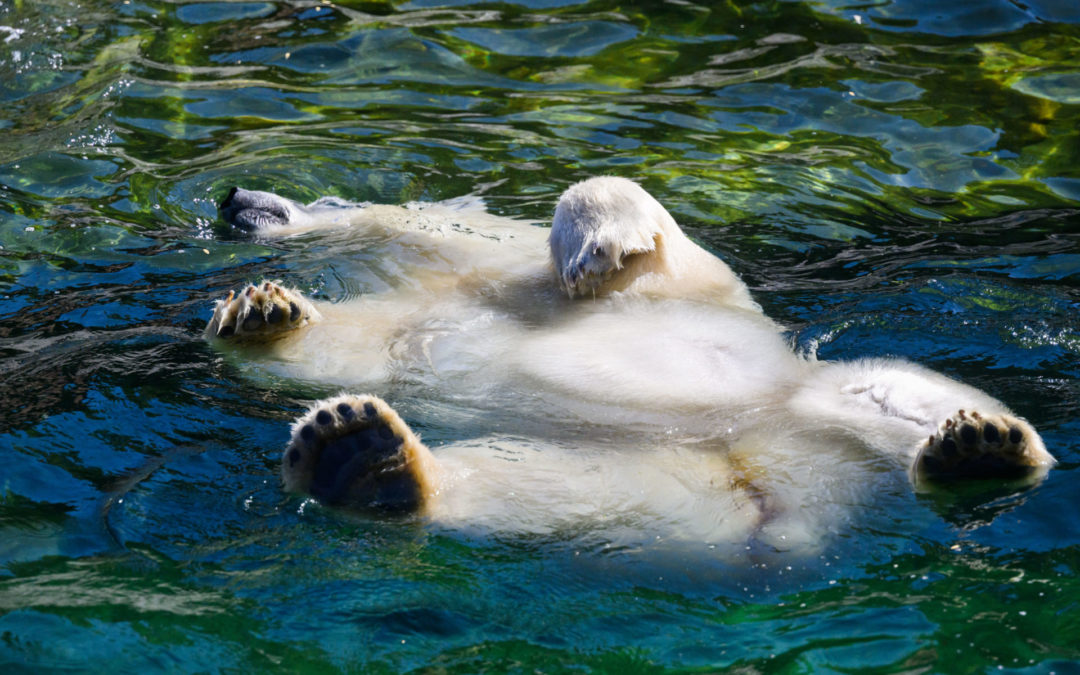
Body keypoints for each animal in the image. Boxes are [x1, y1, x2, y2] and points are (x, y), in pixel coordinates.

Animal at [204, 178, 1054, 552]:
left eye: (325, 197)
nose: (233, 199)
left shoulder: (680, 285)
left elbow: (628, 218)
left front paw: (594, 241)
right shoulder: (409, 333)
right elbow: (335, 350)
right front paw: (262, 313)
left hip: (823, 400)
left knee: (897, 388)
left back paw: (981, 442)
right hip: (671, 488)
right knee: (564, 490)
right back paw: (360, 458)